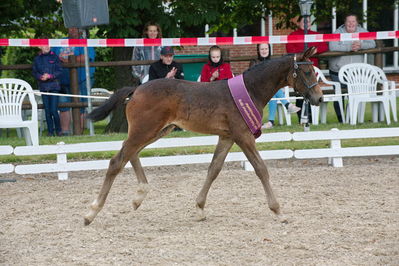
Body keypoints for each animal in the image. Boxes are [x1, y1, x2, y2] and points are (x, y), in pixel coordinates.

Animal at [83, 46, 324, 225]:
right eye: (307, 72)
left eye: (314, 71)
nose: (319, 98)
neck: (250, 89)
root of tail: (136, 90)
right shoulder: (243, 136)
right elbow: (261, 169)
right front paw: (278, 211)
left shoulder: (227, 137)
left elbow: (213, 169)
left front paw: (199, 208)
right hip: (146, 130)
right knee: (117, 160)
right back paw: (92, 212)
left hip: (156, 130)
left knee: (130, 153)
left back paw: (139, 196)